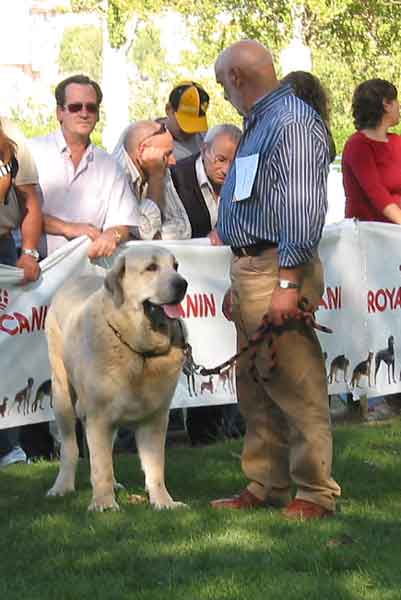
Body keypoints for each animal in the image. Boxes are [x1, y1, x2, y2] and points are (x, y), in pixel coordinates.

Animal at [45, 244, 188, 510]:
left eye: (175, 266)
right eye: (151, 267)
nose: (182, 284)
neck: (137, 348)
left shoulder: (155, 418)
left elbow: (155, 466)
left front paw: (164, 502)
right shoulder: (98, 417)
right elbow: (100, 466)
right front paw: (104, 504)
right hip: (62, 395)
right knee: (69, 447)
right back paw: (62, 487)